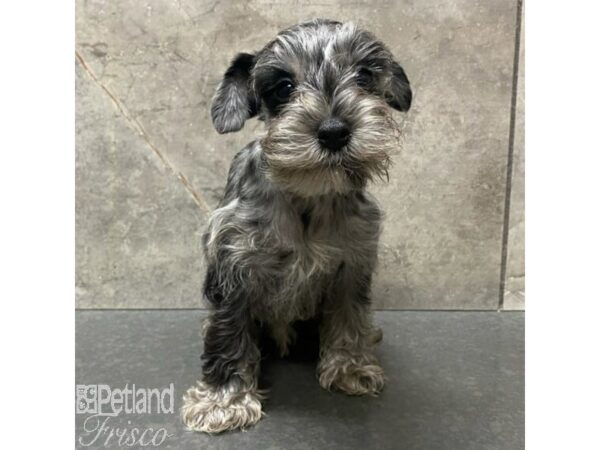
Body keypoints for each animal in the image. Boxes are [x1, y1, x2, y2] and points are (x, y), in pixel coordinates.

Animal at [180, 19, 410, 434]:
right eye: (284, 86)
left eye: (365, 75)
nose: (334, 131)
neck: (307, 197)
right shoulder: (232, 267)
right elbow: (228, 334)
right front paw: (222, 401)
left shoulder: (352, 266)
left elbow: (349, 317)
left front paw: (349, 367)